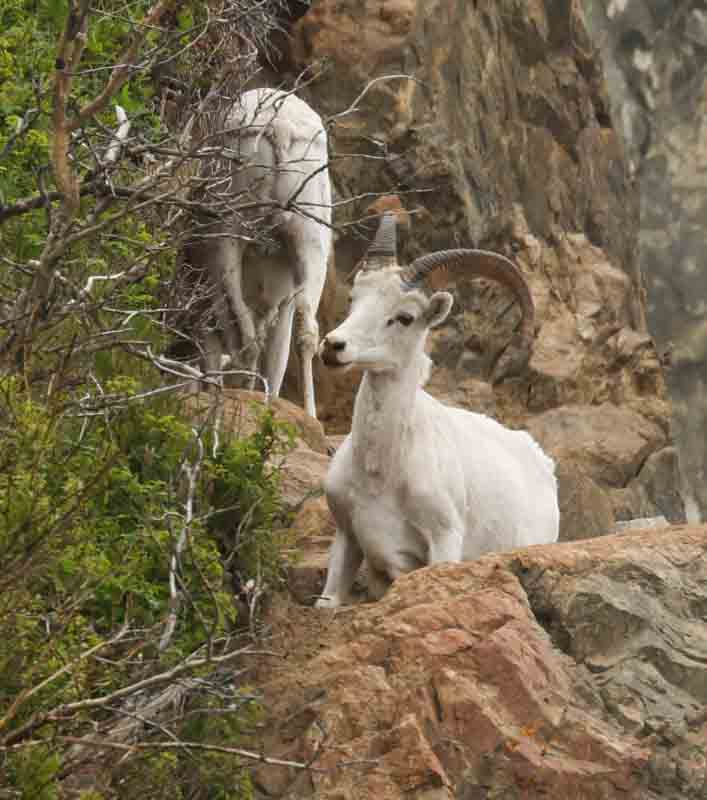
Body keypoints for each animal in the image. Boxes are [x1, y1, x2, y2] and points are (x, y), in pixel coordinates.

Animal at [192, 88, 332, 418]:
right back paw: (307, 414)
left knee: (247, 337)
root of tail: (279, 127)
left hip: (228, 230)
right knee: (305, 332)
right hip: (310, 236)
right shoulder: (283, 302)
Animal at [315, 214, 559, 607]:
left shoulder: (443, 542)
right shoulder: (347, 539)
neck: (378, 475)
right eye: (354, 298)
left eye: (404, 317)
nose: (333, 346)